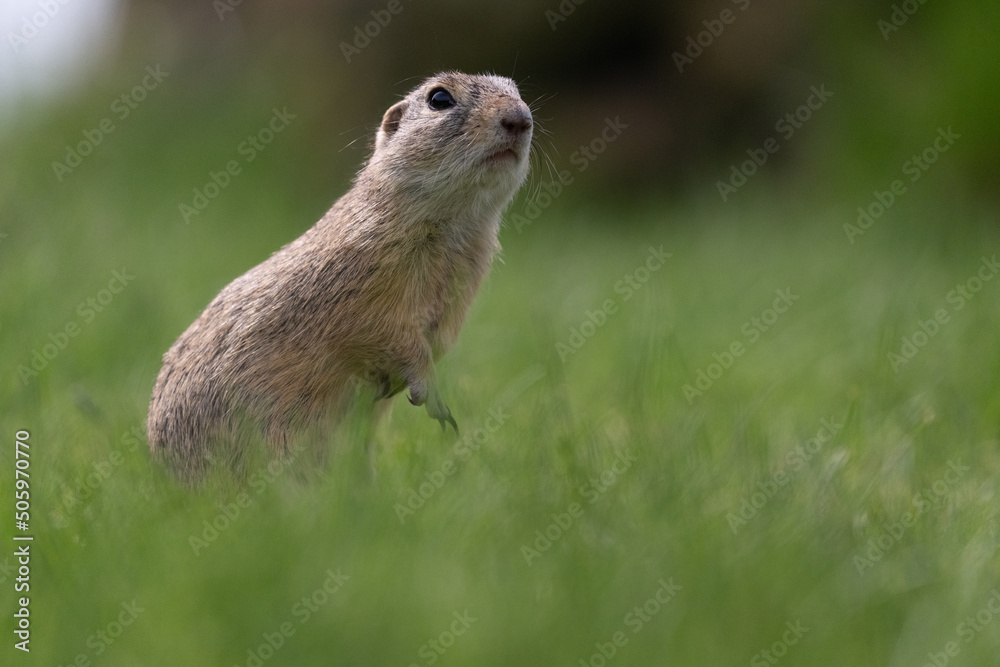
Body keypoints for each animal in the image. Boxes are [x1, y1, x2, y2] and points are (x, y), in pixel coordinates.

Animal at [147, 72, 533, 478]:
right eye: (439, 98)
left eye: (515, 90)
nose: (520, 118)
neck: (453, 227)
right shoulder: (365, 291)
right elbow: (390, 337)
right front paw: (432, 396)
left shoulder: (458, 296)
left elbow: (438, 341)